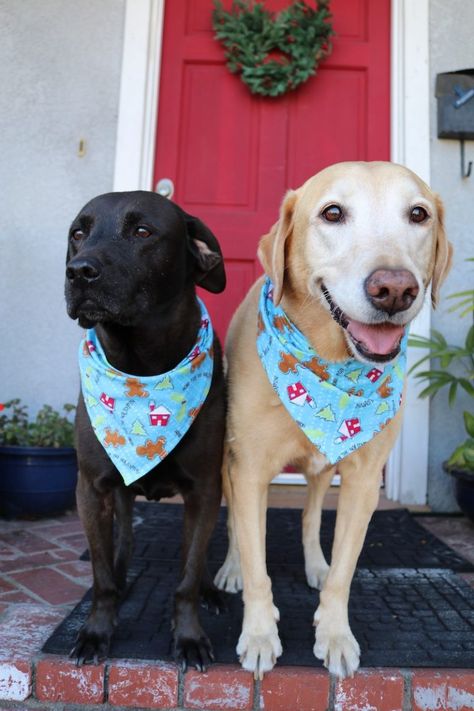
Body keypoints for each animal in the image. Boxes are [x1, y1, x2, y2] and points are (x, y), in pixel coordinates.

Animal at [65, 192, 226, 672]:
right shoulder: (91, 488)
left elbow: (187, 576)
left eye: (142, 232)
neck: (142, 367)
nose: (78, 271)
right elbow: (101, 574)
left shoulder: (205, 490)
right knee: (126, 543)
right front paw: (96, 632)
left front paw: (189, 637)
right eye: (78, 233)